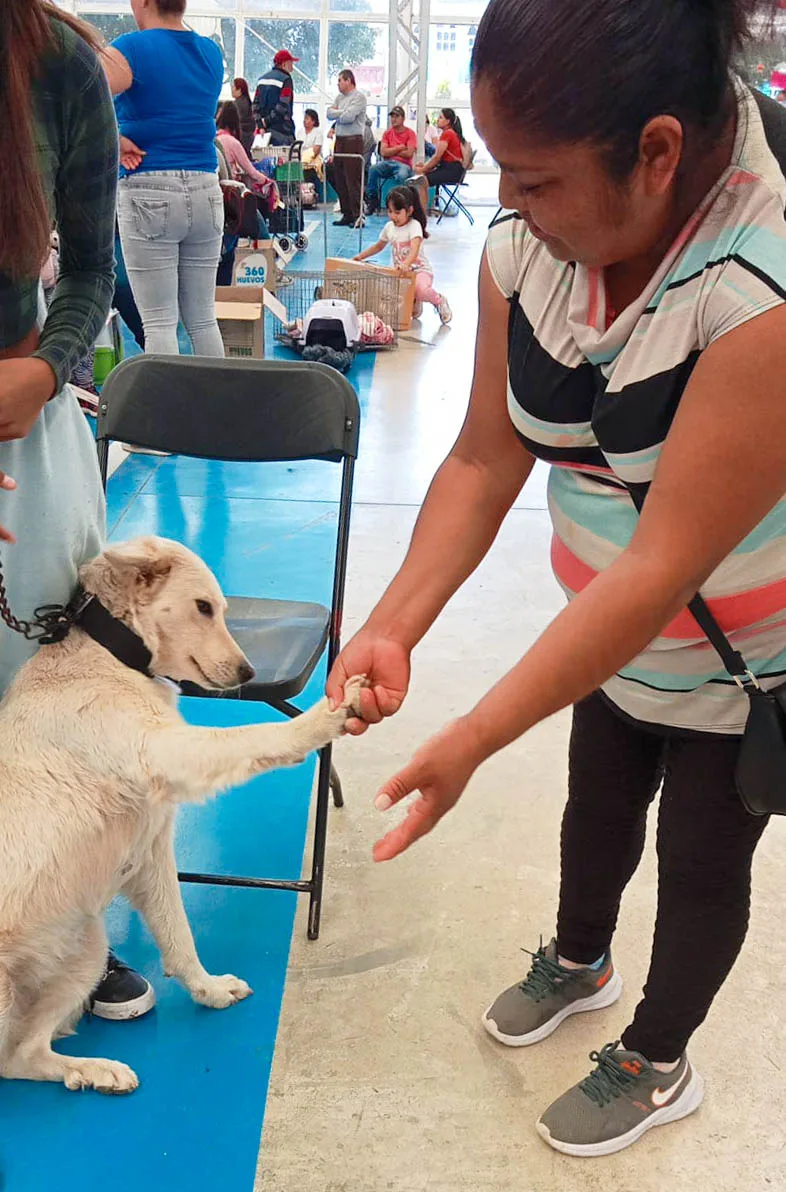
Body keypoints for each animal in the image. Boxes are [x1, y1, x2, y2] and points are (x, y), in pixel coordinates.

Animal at [0, 536, 362, 1091]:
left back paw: (94, 1071)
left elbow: (180, 937)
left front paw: (208, 990)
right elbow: (254, 737)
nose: (249, 674)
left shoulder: (151, 855)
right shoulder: (167, 751)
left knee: (19, 1055)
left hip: (86, 947)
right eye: (203, 607)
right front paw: (324, 719)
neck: (111, 657)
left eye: (222, 609)